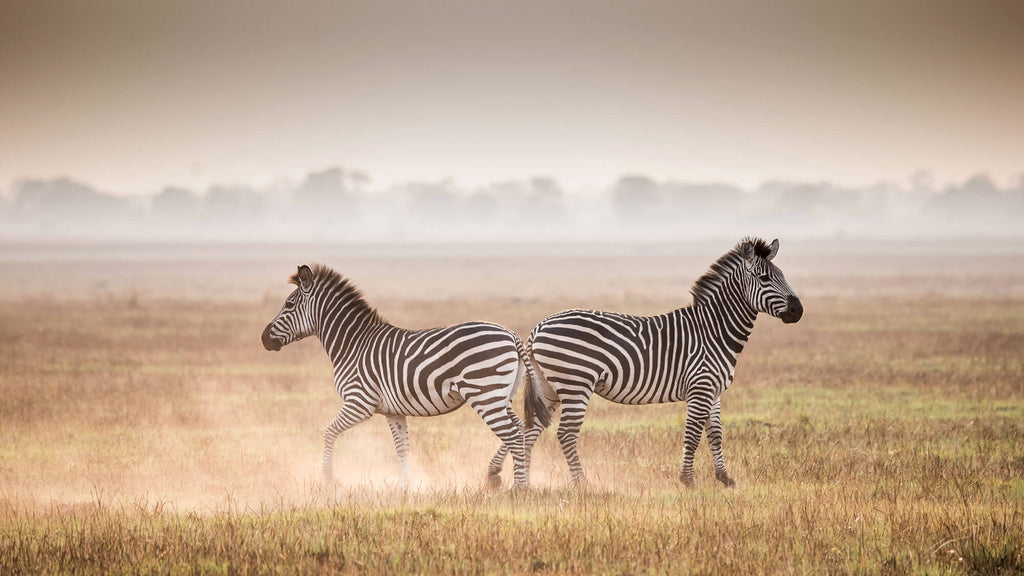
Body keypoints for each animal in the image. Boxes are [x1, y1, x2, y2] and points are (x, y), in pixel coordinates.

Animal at [260, 262, 532, 485]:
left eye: (289, 304)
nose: (263, 339)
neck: (353, 344)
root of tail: (511, 334)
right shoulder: (393, 411)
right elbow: (402, 447)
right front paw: (405, 486)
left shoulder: (359, 402)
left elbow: (328, 432)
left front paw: (328, 479)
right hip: (501, 396)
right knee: (521, 429)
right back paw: (506, 476)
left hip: (485, 393)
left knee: (513, 435)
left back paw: (518, 489)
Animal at [491, 235, 802, 485]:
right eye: (764, 279)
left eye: (783, 275)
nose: (798, 311)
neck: (713, 330)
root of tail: (538, 327)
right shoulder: (699, 387)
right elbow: (692, 434)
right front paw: (688, 481)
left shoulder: (713, 391)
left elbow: (715, 434)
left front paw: (725, 479)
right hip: (575, 385)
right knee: (565, 433)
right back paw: (581, 483)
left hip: (549, 387)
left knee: (529, 428)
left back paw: (511, 479)